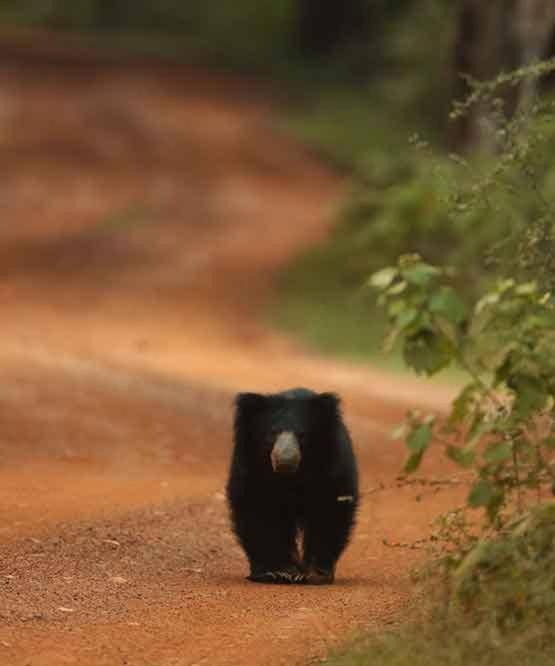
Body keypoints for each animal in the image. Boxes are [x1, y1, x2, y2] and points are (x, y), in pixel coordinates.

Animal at [227, 386, 360, 584]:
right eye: (272, 433)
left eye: (302, 435)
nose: (285, 461)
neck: (291, 477)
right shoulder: (250, 468)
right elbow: (257, 510)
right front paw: (277, 571)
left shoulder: (333, 468)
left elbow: (329, 510)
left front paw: (314, 573)